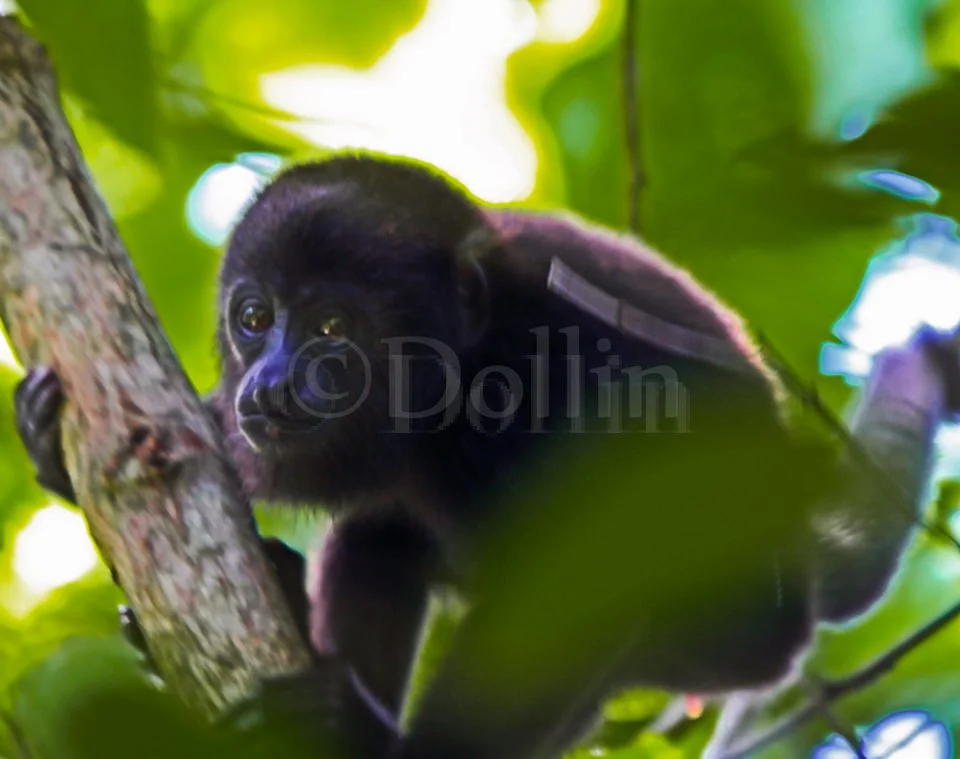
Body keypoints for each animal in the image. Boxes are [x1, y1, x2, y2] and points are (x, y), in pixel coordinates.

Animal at [14, 153, 959, 759]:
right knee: (382, 535)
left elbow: (588, 582)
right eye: (254, 318)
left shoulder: (574, 383)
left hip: (729, 635)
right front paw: (58, 447)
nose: (270, 384)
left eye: (331, 328)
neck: (467, 374)